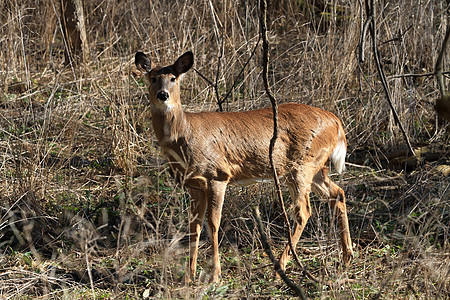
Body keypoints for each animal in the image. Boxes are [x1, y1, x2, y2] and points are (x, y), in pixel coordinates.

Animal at [135, 51, 354, 284]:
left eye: (173, 78)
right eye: (152, 78)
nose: (163, 95)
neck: (185, 135)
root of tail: (336, 123)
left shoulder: (218, 175)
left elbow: (213, 223)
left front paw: (215, 275)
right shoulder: (194, 184)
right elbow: (194, 226)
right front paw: (189, 276)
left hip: (302, 165)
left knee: (304, 211)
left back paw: (280, 267)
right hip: (314, 168)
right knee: (337, 194)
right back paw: (346, 257)